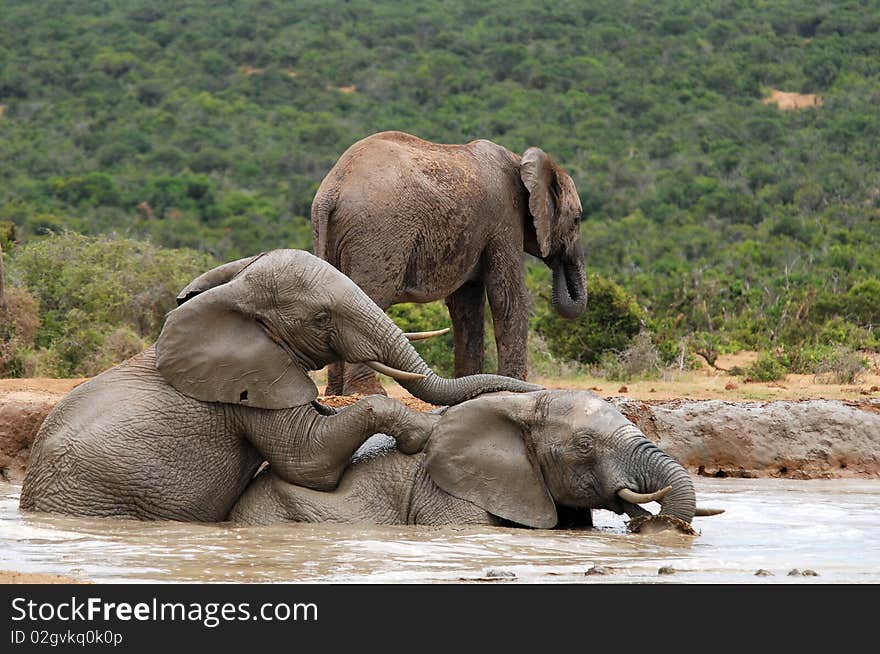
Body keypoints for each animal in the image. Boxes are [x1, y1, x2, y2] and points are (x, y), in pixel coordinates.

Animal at [20, 251, 540, 524]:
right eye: (322, 318)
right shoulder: (249, 387)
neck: (233, 297)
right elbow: (308, 461)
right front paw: (421, 434)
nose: (532, 392)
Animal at [312, 128, 588, 394]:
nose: (556, 257)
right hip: (378, 233)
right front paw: (516, 386)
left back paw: (336, 392)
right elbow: (506, 296)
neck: (520, 162)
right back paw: (368, 392)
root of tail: (333, 188)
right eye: (577, 220)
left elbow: (466, 304)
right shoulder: (504, 220)